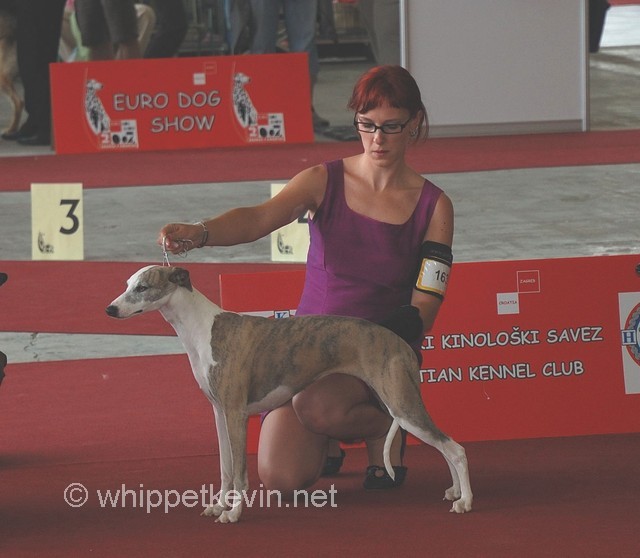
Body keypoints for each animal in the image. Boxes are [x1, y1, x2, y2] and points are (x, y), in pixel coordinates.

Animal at [105, 264, 472, 524]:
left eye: (142, 287)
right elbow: (225, 468)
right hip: (397, 401)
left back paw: (465, 501)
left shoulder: (236, 413)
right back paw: (454, 491)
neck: (202, 329)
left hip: (402, 403)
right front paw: (217, 506)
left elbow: (240, 472)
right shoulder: (219, 412)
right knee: (444, 445)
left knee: (454, 447)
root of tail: (400, 344)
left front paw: (233, 513)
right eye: (126, 284)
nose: (110, 309)